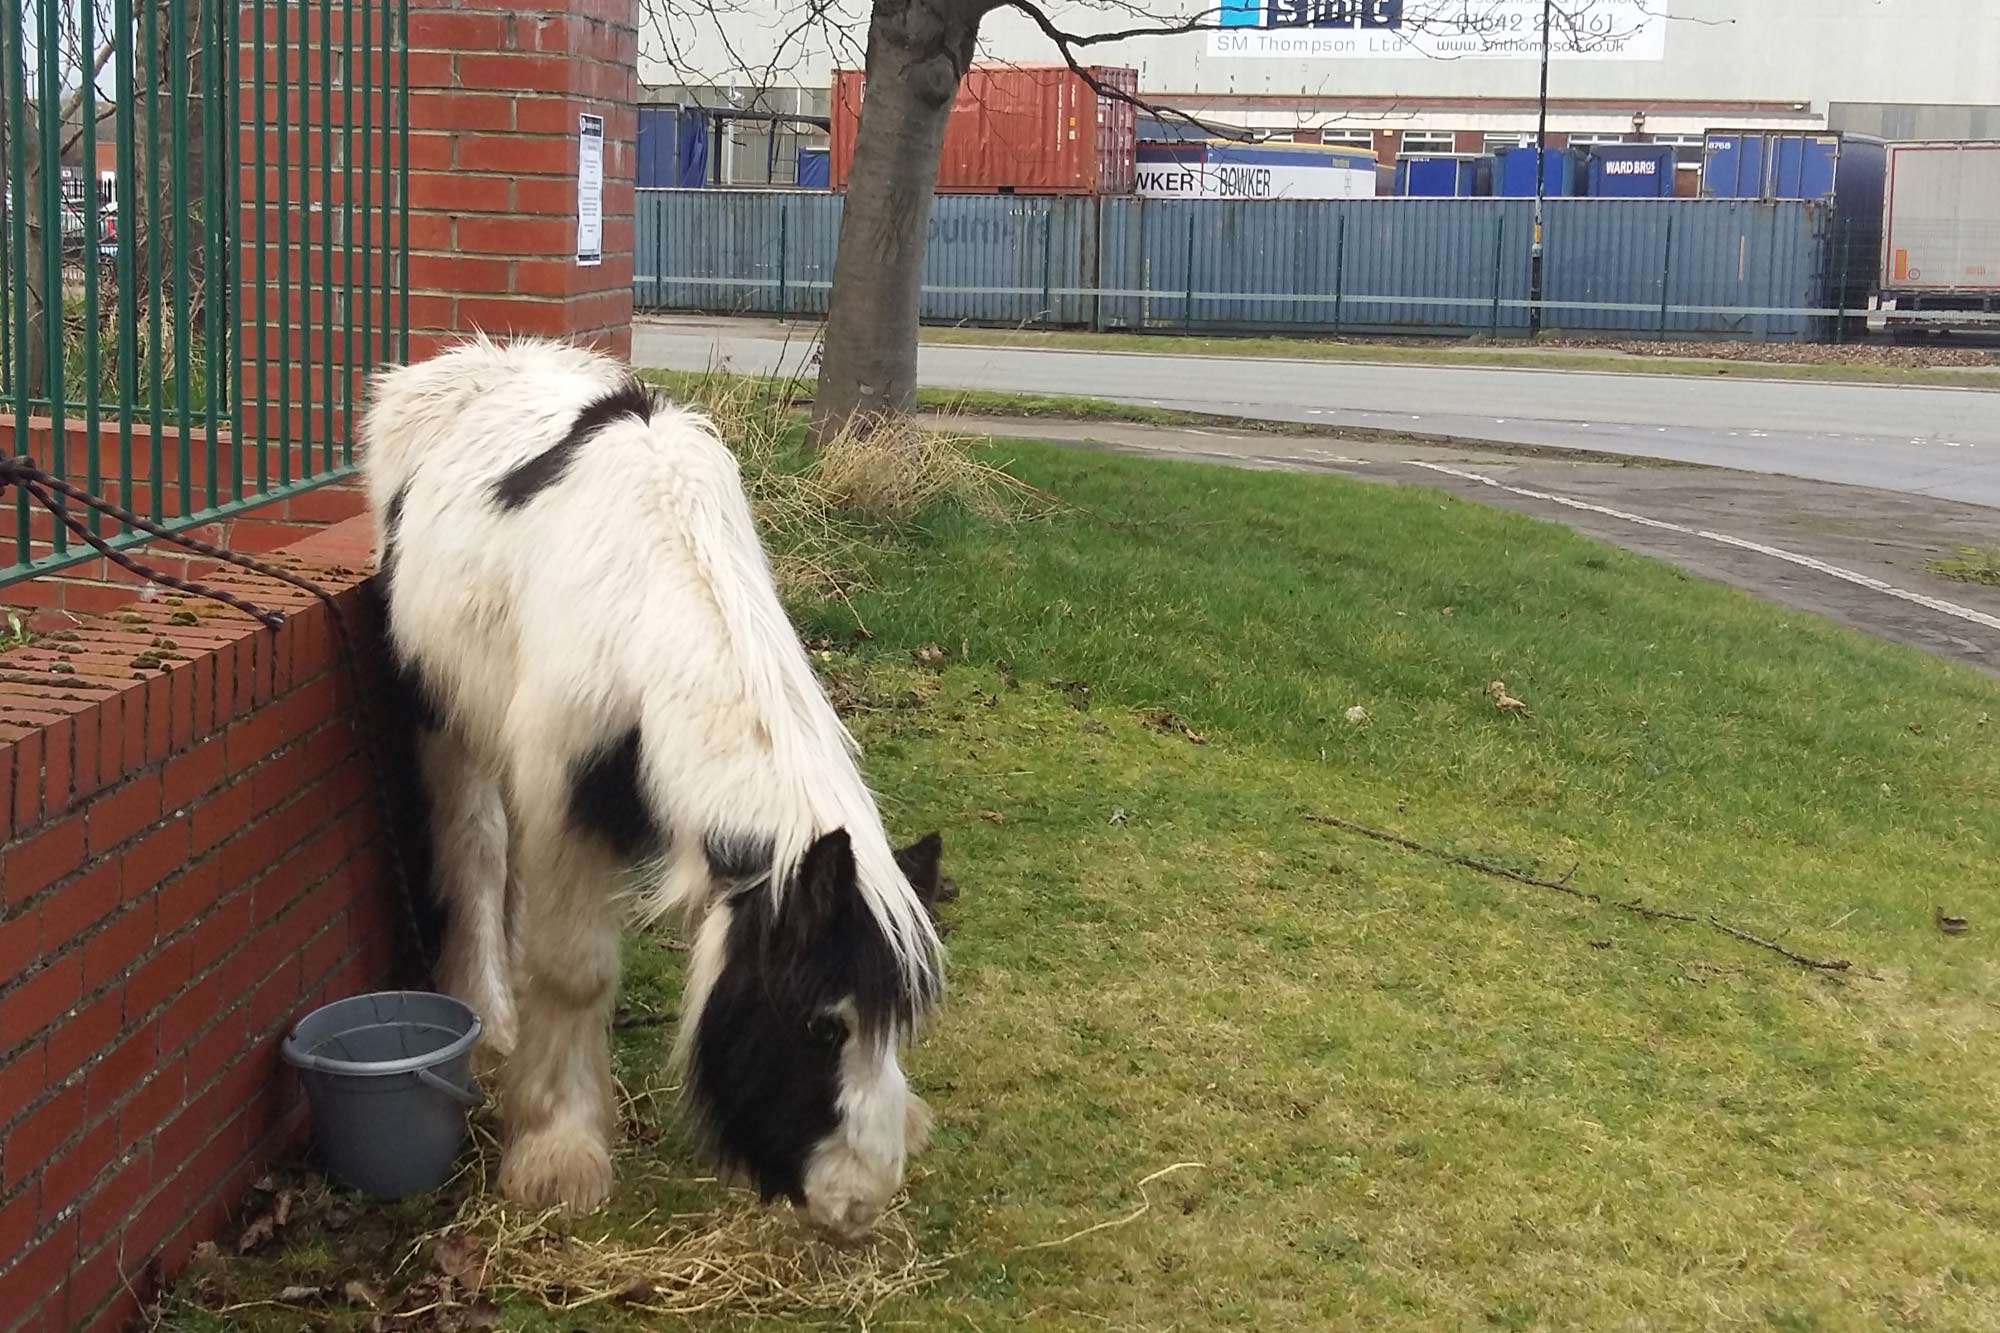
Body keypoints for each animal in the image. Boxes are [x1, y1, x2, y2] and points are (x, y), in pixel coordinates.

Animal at [358, 334, 944, 1232]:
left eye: (899, 1022)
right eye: (823, 1027)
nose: (860, 1202)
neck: (654, 603)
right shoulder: (565, 800)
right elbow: (574, 971)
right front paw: (558, 1151)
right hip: (445, 716)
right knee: (480, 852)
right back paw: (492, 1022)